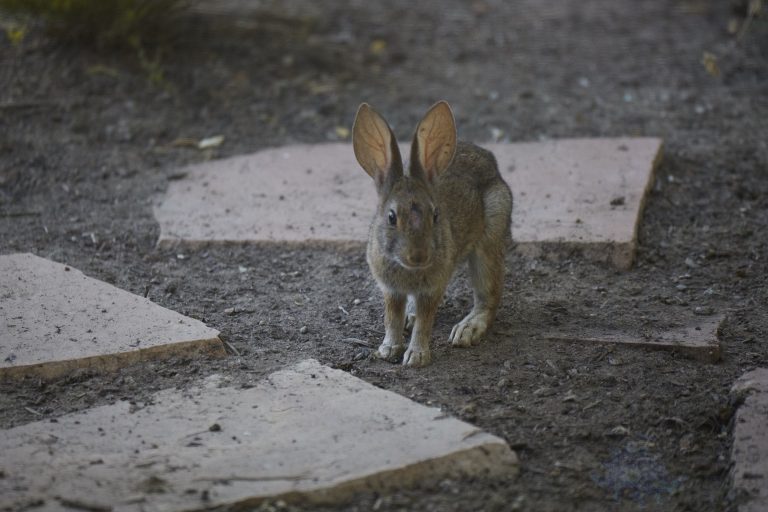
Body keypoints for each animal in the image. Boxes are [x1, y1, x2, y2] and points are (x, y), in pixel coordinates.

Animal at [352, 100, 513, 367]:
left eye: (435, 215)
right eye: (391, 217)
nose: (419, 256)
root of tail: (491, 162)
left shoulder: (432, 288)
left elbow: (425, 323)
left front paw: (416, 357)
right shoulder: (391, 290)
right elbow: (392, 318)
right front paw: (388, 350)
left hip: (491, 235)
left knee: (489, 295)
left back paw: (467, 329)